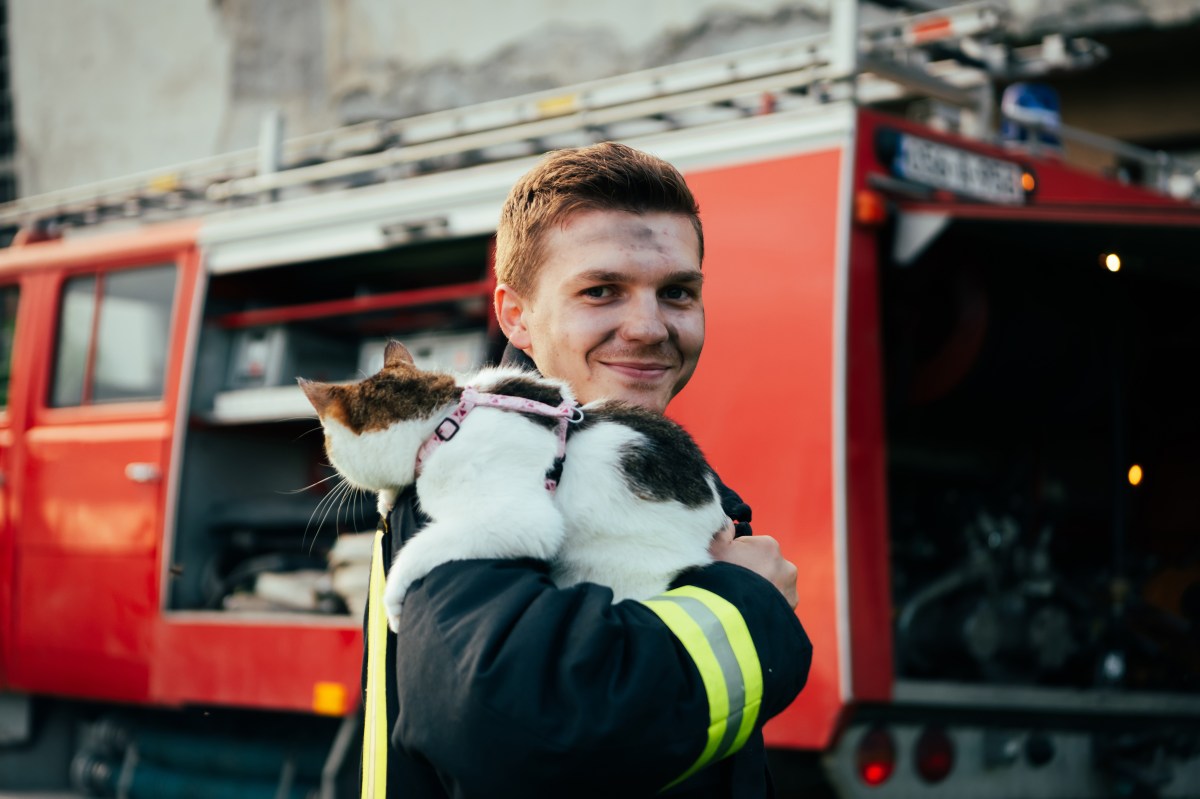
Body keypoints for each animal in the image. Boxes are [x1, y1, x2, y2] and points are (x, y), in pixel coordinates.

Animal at [304, 338, 724, 628]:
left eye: (327, 441)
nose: (329, 460)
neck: (446, 418)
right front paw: (387, 497)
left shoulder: (516, 518)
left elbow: (422, 548)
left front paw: (392, 599)